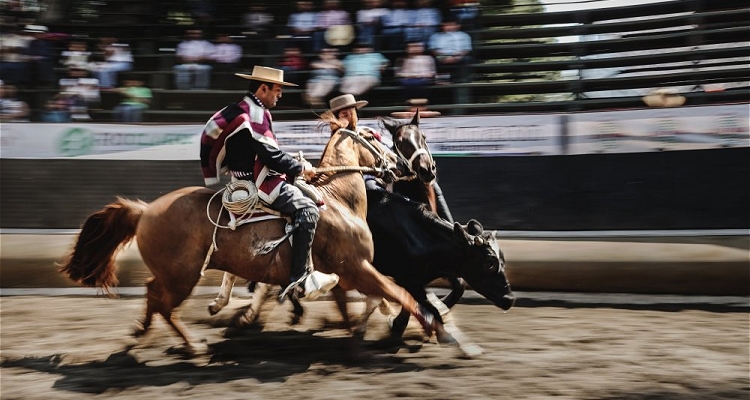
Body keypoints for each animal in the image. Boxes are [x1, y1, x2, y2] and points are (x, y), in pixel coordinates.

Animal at [60, 126, 452, 352]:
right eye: (374, 138)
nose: (408, 168)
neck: (339, 199)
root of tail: (144, 211)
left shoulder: (352, 274)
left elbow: (375, 298)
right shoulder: (357, 268)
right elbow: (397, 293)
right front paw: (437, 329)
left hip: (176, 275)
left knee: (153, 295)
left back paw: (145, 331)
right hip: (181, 277)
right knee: (162, 301)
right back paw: (192, 345)